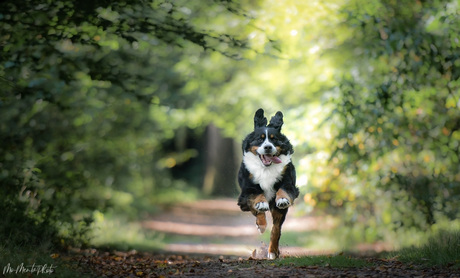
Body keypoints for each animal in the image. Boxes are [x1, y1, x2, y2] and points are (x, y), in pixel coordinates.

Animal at [237, 108, 298, 258]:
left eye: (273, 138)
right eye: (260, 139)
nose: (268, 147)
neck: (266, 168)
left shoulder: (289, 182)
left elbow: (284, 190)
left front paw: (282, 199)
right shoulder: (247, 190)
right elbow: (257, 199)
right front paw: (261, 218)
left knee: (276, 229)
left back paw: (272, 252)